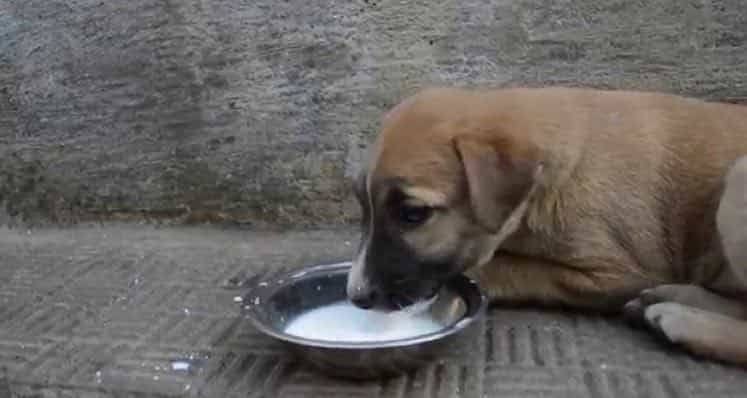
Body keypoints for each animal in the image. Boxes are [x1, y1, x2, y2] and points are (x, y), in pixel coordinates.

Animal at [348, 86, 747, 366]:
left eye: (413, 214)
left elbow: (504, 267)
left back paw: (684, 322)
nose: (356, 297)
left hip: (737, 184)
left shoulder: (615, 272)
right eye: (363, 206)